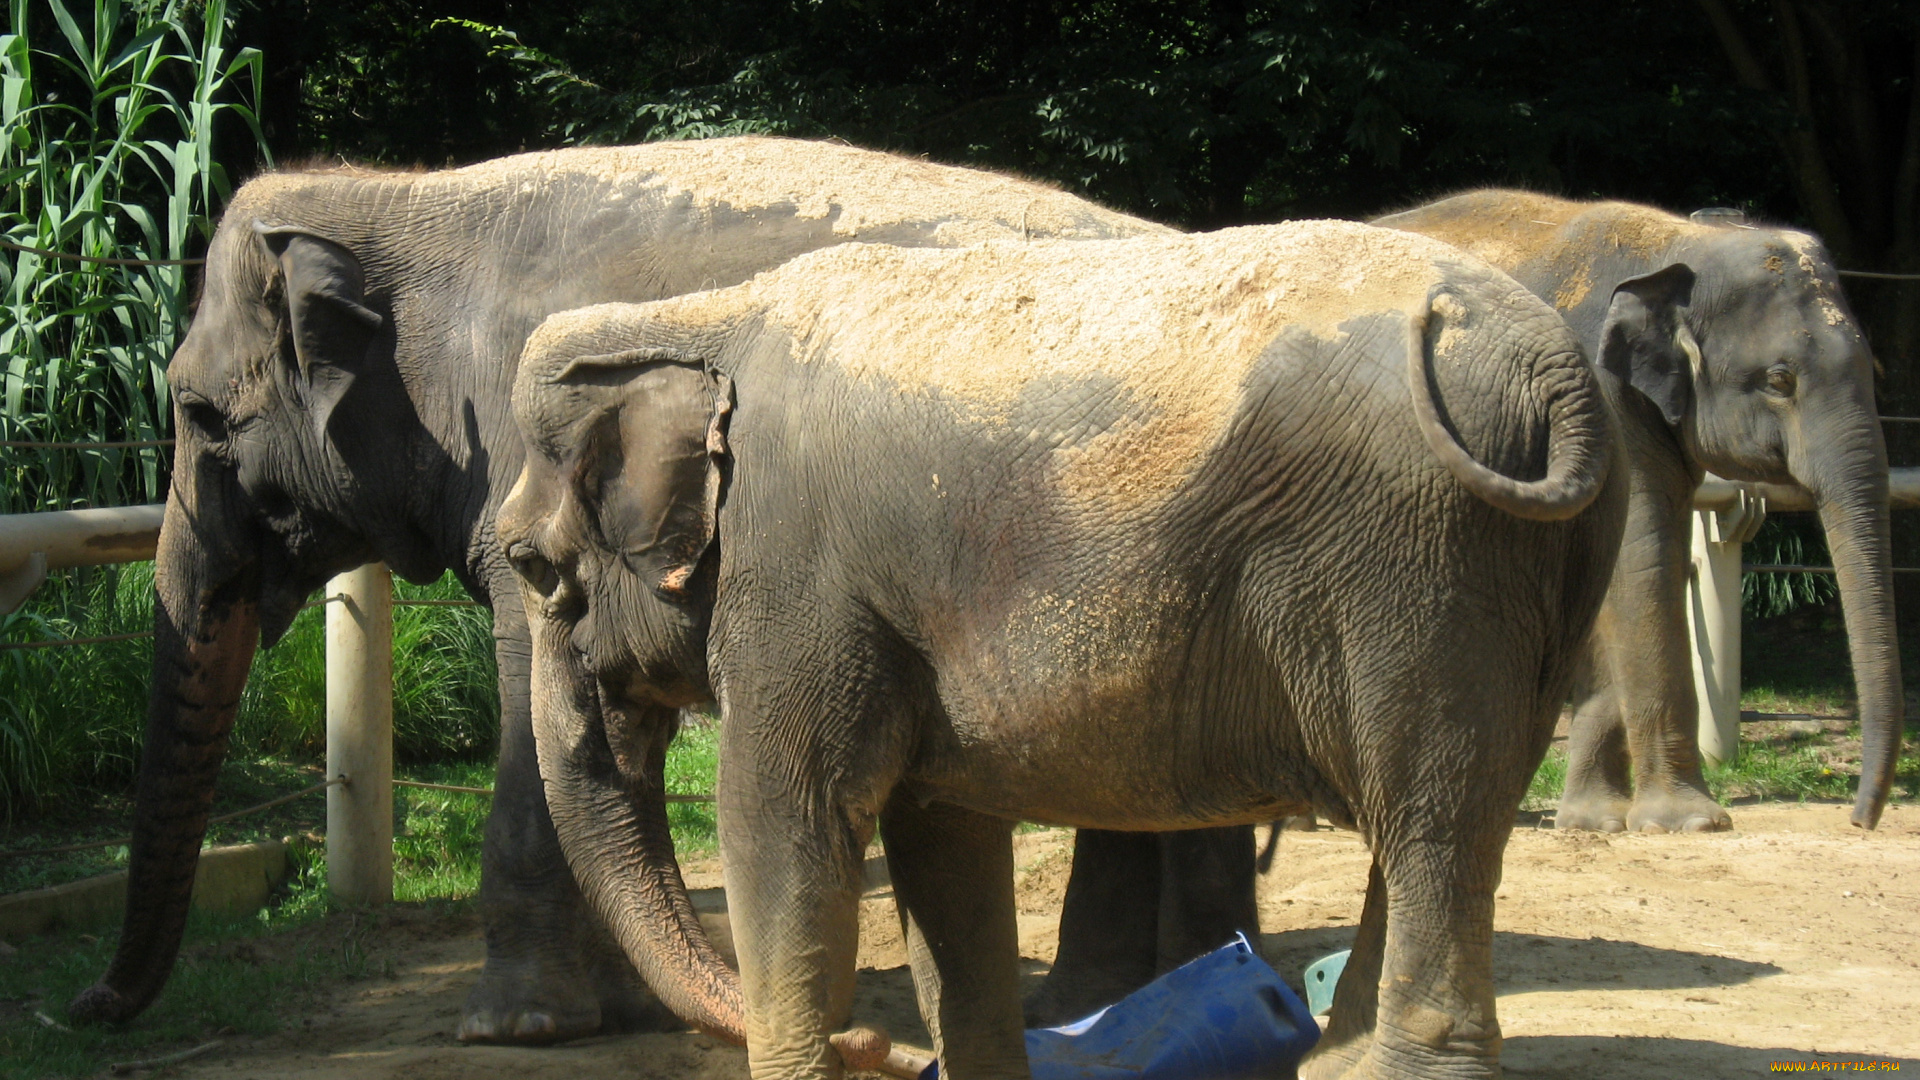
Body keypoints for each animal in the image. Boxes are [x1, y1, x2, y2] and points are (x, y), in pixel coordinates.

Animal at [499, 220, 1681, 1076]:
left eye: (525, 565)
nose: (879, 1046)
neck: (702, 312)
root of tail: (1556, 368)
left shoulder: (799, 583)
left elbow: (784, 822)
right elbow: (944, 841)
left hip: (1422, 570)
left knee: (1429, 814)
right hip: (1533, 566)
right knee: (1444, 819)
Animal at [1374, 191, 1896, 834]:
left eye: (1874, 372)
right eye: (1780, 380)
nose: (1859, 821)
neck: (1679, 245)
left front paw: (1595, 822)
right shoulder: (1599, 393)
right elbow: (1641, 559)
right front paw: (1691, 822)